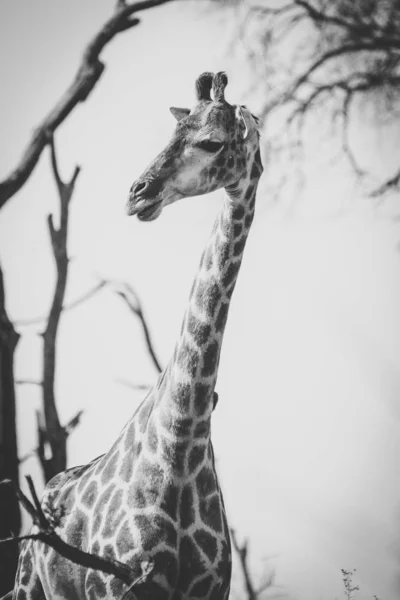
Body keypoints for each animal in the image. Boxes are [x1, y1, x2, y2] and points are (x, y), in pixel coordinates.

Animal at [11, 72, 262, 600]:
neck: (183, 439)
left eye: (212, 142)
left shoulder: (210, 590)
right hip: (29, 587)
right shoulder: (116, 585)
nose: (137, 194)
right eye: (171, 132)